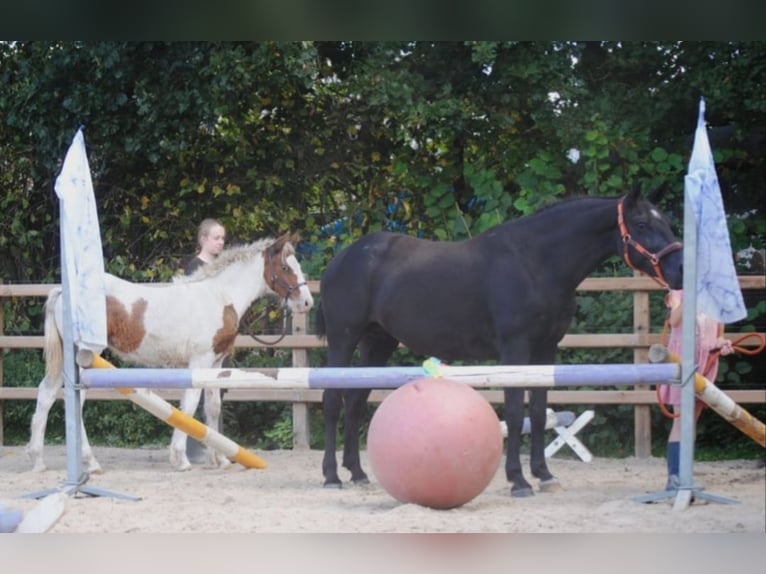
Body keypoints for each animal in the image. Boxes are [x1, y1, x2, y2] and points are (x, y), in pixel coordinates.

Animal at [26, 233, 314, 473]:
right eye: (286, 268)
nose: (307, 302)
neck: (219, 296)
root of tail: (64, 291)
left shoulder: (215, 362)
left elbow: (212, 407)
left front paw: (220, 459)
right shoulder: (199, 361)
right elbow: (189, 405)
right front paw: (181, 459)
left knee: (46, 394)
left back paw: (38, 461)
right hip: (85, 360)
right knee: (74, 400)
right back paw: (90, 462)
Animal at [316, 188, 683, 497]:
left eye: (665, 221)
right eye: (641, 223)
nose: (680, 269)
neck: (535, 262)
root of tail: (340, 260)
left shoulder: (545, 349)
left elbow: (538, 413)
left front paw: (543, 474)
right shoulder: (515, 348)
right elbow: (514, 410)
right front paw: (518, 480)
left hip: (379, 343)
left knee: (356, 401)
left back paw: (357, 472)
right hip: (343, 339)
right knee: (332, 400)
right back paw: (331, 476)